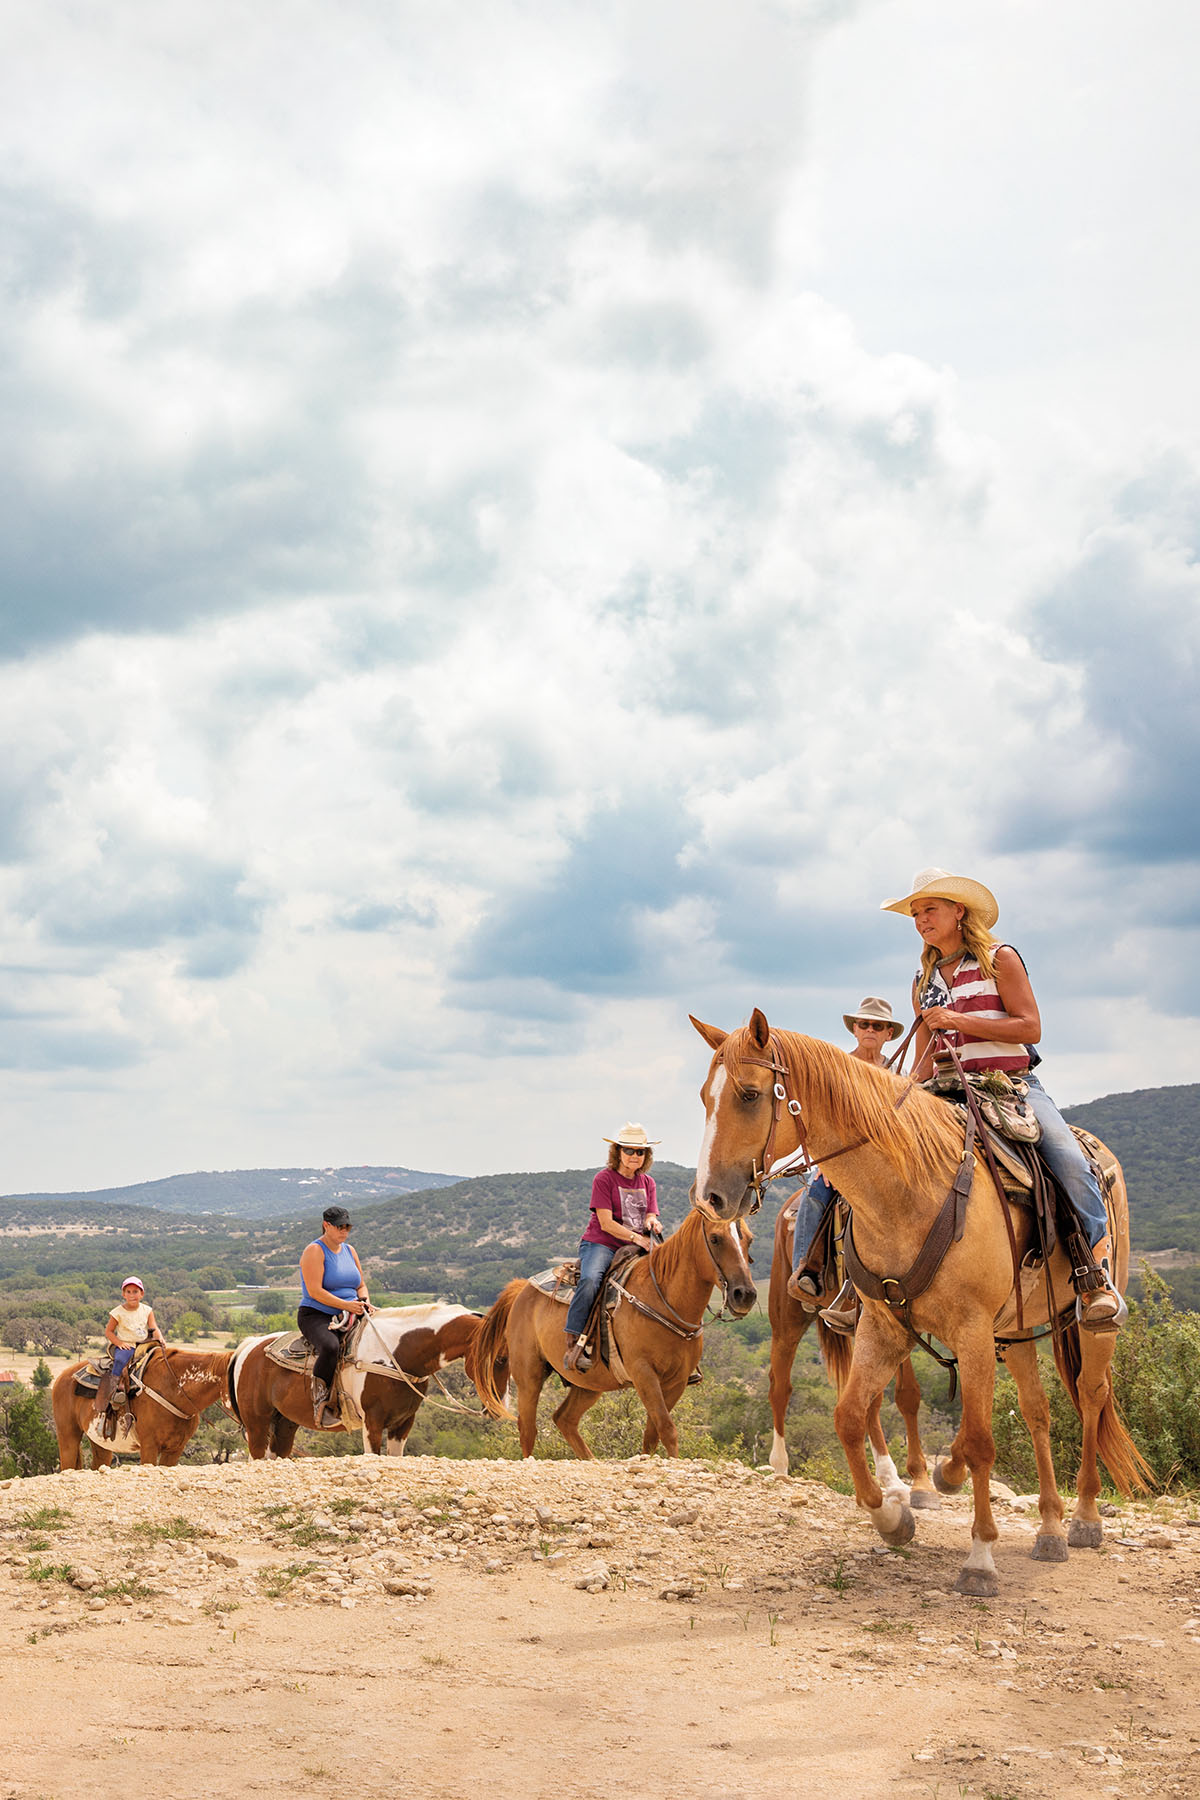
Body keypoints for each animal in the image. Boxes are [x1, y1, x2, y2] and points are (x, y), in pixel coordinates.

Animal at [52, 1346, 233, 1468]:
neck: (173, 1389)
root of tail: (63, 1376)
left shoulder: (175, 1450)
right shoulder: (149, 1447)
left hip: (100, 1444)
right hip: (68, 1436)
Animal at [230, 1303, 482, 1454]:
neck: (394, 1353)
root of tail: (249, 1345)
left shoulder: (402, 1424)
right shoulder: (373, 1422)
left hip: (284, 1423)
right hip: (257, 1424)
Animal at [467, 1202, 752, 1454]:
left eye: (749, 1239)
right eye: (715, 1238)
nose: (745, 1295)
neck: (663, 1297)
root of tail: (522, 1288)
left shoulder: (677, 1381)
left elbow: (653, 1433)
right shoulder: (643, 1373)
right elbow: (667, 1429)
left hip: (588, 1384)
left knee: (564, 1419)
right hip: (529, 1375)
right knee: (528, 1429)